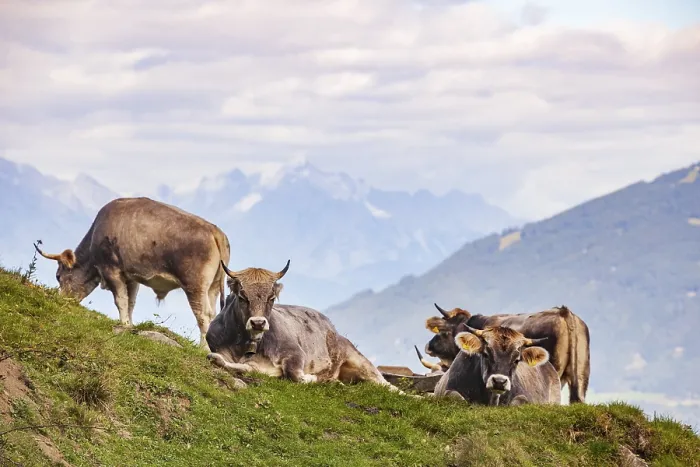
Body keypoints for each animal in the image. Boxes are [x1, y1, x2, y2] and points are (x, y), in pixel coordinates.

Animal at [34, 197, 230, 348]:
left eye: (58, 276)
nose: (61, 300)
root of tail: (215, 231)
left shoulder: (112, 270)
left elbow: (120, 300)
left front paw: (124, 324)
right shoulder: (132, 277)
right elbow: (130, 302)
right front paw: (130, 324)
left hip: (195, 285)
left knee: (203, 315)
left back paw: (203, 349)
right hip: (213, 287)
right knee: (213, 314)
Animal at [205, 260, 403, 393]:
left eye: (271, 298)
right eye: (242, 297)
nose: (258, 322)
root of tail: (332, 328)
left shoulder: (295, 353)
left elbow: (296, 375)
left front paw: (316, 378)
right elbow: (225, 362)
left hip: (357, 357)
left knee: (387, 384)